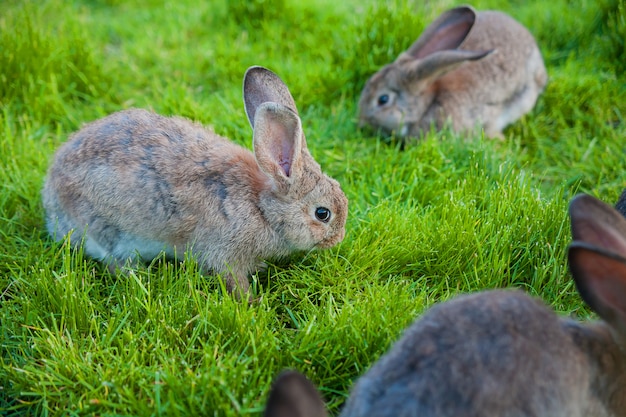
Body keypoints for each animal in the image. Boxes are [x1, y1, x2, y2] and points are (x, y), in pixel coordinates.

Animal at [42, 65, 348, 298]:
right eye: (323, 214)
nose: (338, 239)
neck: (262, 207)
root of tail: (50, 201)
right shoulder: (224, 252)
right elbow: (233, 279)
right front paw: (252, 302)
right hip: (105, 228)